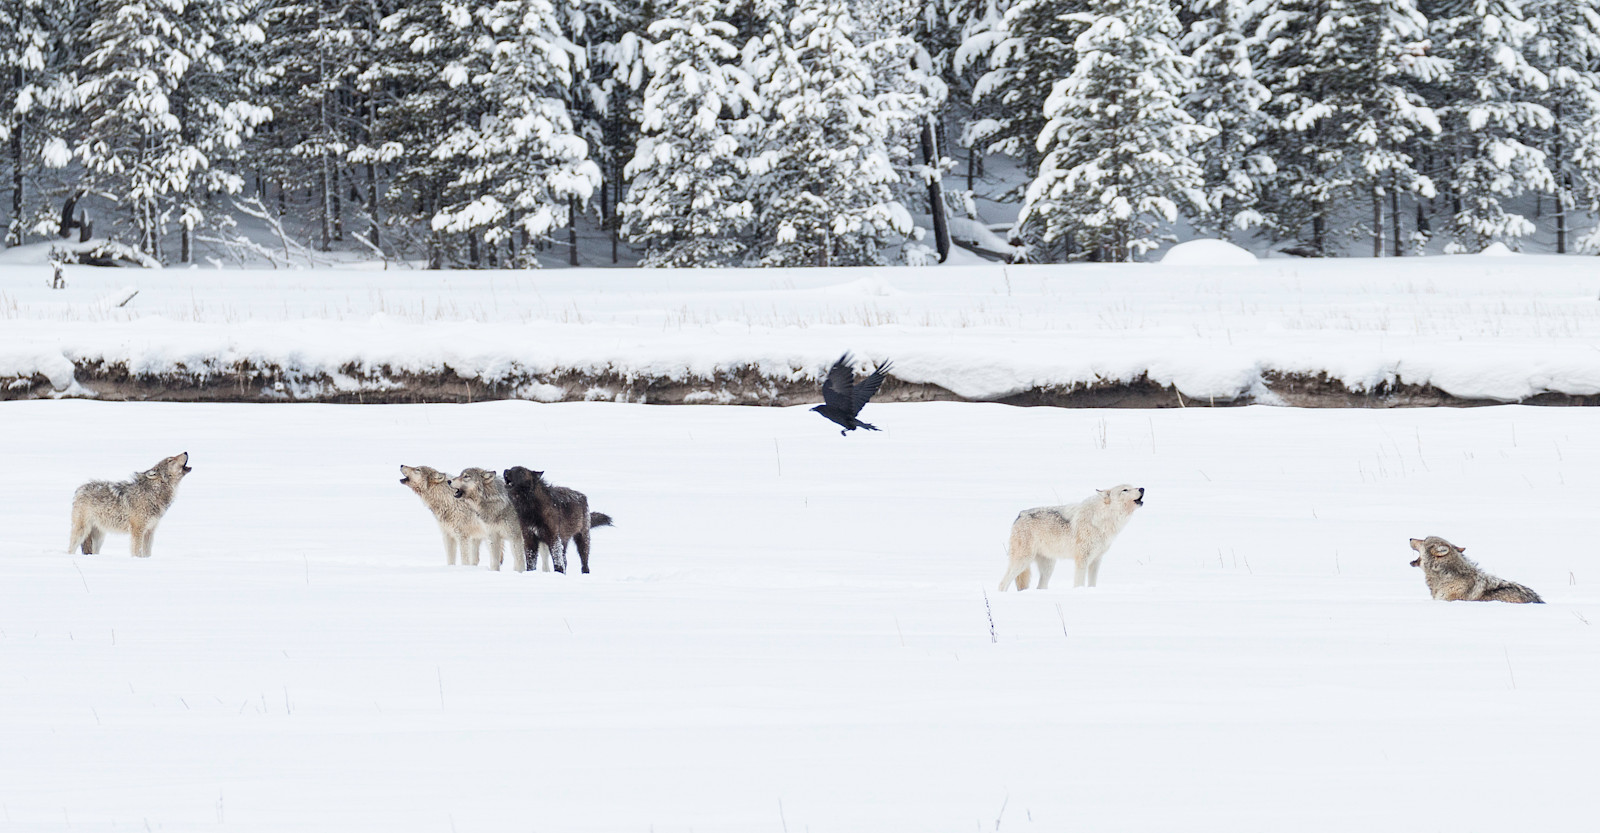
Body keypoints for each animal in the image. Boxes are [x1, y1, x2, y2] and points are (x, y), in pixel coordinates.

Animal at [992, 479, 1145, 591]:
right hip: (1022, 562)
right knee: (1002, 584)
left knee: (1040, 587)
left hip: (1048, 568)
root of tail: (1020, 515)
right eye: (1125, 490)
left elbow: (1092, 584)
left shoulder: (1096, 561)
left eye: (1133, 487)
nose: (1142, 488)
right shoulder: (1082, 560)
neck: (1102, 519)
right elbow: (1079, 583)